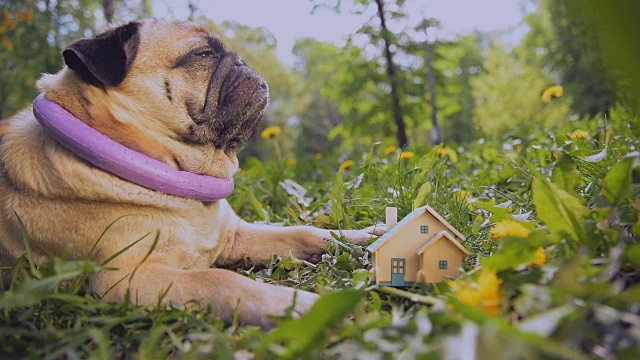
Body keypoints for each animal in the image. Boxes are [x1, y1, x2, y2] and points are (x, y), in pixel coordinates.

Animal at [0, 19, 382, 330]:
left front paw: (362, 236)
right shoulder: (127, 279)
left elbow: (305, 233)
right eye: (203, 54)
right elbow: (219, 280)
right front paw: (292, 305)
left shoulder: (237, 237)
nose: (242, 60)